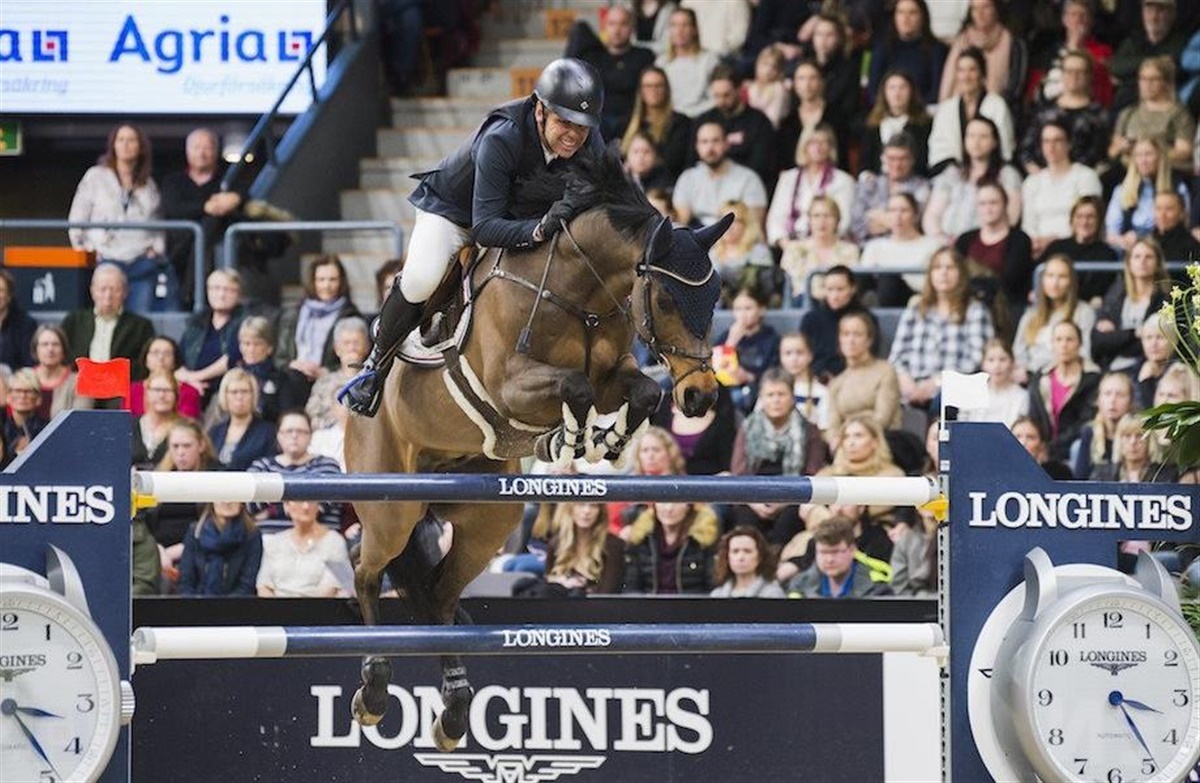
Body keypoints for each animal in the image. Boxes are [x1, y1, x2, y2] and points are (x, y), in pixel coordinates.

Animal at [344, 151, 731, 750]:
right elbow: (576, 387)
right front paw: (569, 436)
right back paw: (375, 688)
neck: (579, 292)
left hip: (487, 520)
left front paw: (601, 440)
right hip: (393, 509)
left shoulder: (616, 375)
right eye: (667, 299)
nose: (701, 397)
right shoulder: (511, 385)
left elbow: (639, 391)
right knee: (366, 569)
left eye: (713, 300)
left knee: (438, 594)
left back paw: (455, 711)